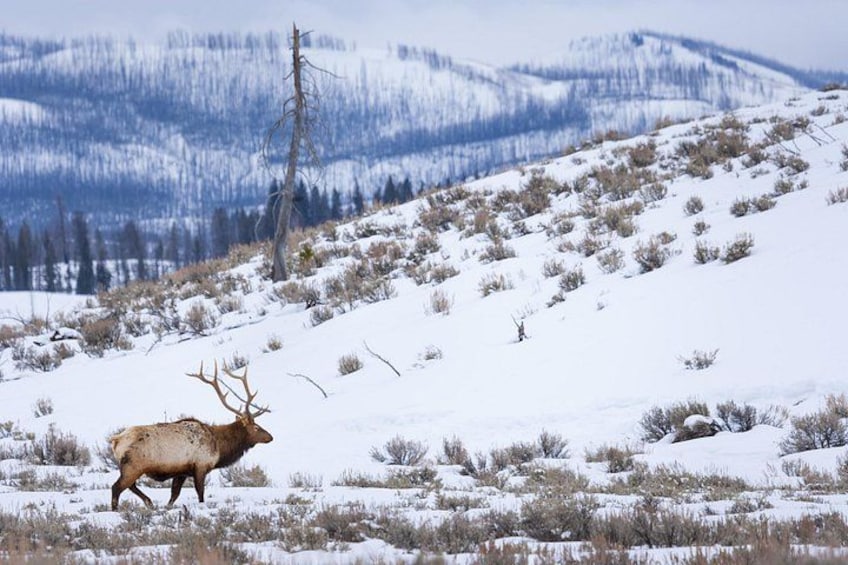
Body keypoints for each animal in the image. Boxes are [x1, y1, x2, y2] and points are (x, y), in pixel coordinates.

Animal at [110, 361, 273, 510]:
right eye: (257, 427)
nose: (271, 437)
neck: (220, 447)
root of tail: (116, 441)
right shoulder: (200, 466)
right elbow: (200, 493)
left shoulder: (181, 472)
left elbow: (174, 495)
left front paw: (168, 507)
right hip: (133, 466)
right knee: (116, 487)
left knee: (130, 486)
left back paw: (149, 502)